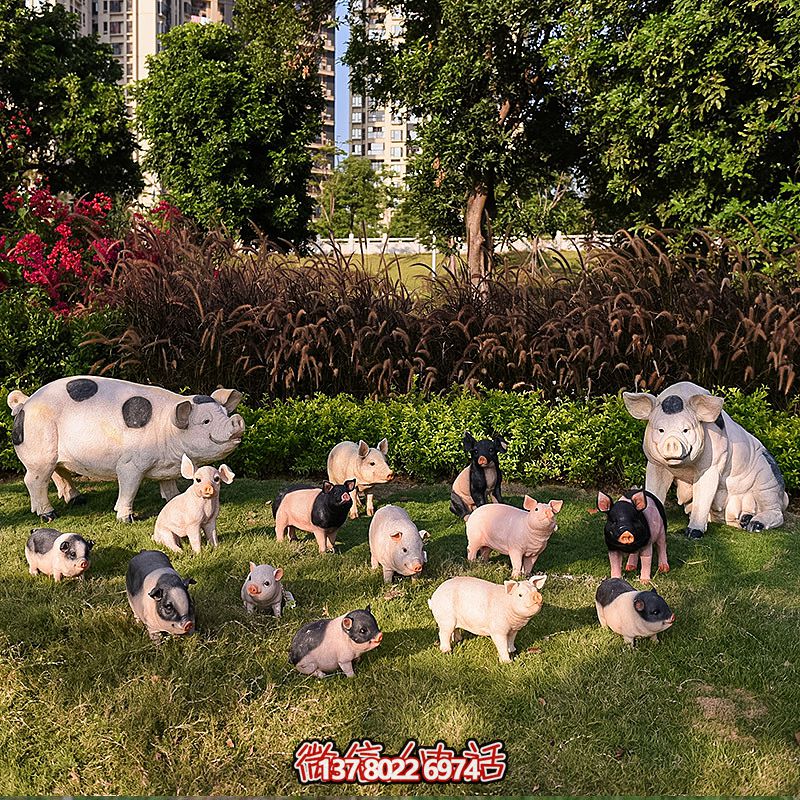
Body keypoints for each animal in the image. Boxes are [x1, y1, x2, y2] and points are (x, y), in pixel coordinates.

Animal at [6, 376, 244, 524]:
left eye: (224, 413)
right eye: (206, 421)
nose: (237, 420)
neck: (167, 429)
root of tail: (25, 403)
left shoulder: (167, 467)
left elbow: (169, 486)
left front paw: (173, 500)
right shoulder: (129, 465)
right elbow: (129, 489)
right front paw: (125, 519)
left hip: (54, 454)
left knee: (59, 472)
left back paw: (78, 500)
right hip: (39, 453)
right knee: (33, 481)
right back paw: (49, 515)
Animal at [624, 380, 788, 536]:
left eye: (686, 430)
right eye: (661, 430)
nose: (672, 442)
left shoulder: (711, 465)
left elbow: (703, 495)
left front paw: (693, 534)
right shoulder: (655, 464)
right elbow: (654, 489)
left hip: (767, 480)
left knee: (776, 512)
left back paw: (754, 526)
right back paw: (745, 520)